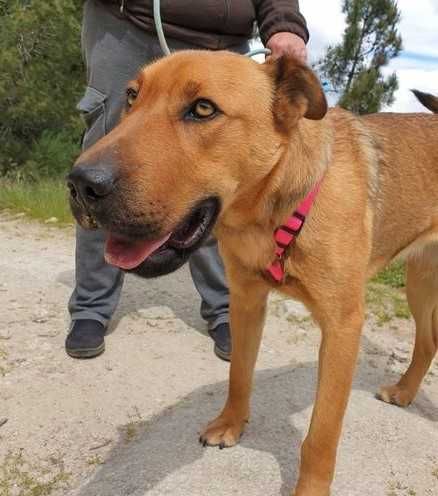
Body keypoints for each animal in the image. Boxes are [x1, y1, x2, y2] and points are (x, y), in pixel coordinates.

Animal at [66, 51, 438, 496]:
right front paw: (231, 424)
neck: (273, 213)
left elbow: (321, 435)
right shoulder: (245, 301)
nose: (80, 184)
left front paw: (310, 489)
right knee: (428, 342)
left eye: (203, 109)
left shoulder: (343, 326)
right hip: (419, 282)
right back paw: (405, 391)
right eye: (132, 97)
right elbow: (239, 374)